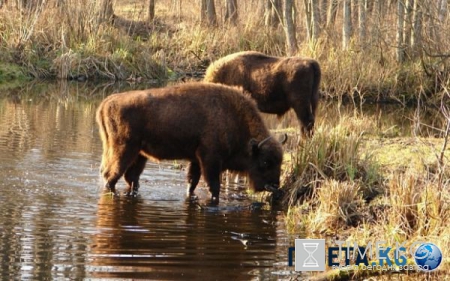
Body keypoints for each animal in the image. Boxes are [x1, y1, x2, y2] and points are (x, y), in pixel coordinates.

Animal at [96, 81, 284, 201]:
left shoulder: (196, 159)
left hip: (139, 154)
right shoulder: (210, 160)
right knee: (111, 176)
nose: (275, 186)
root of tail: (106, 102)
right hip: (124, 151)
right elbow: (213, 186)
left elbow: (192, 182)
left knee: (130, 178)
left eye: (279, 162)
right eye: (265, 161)